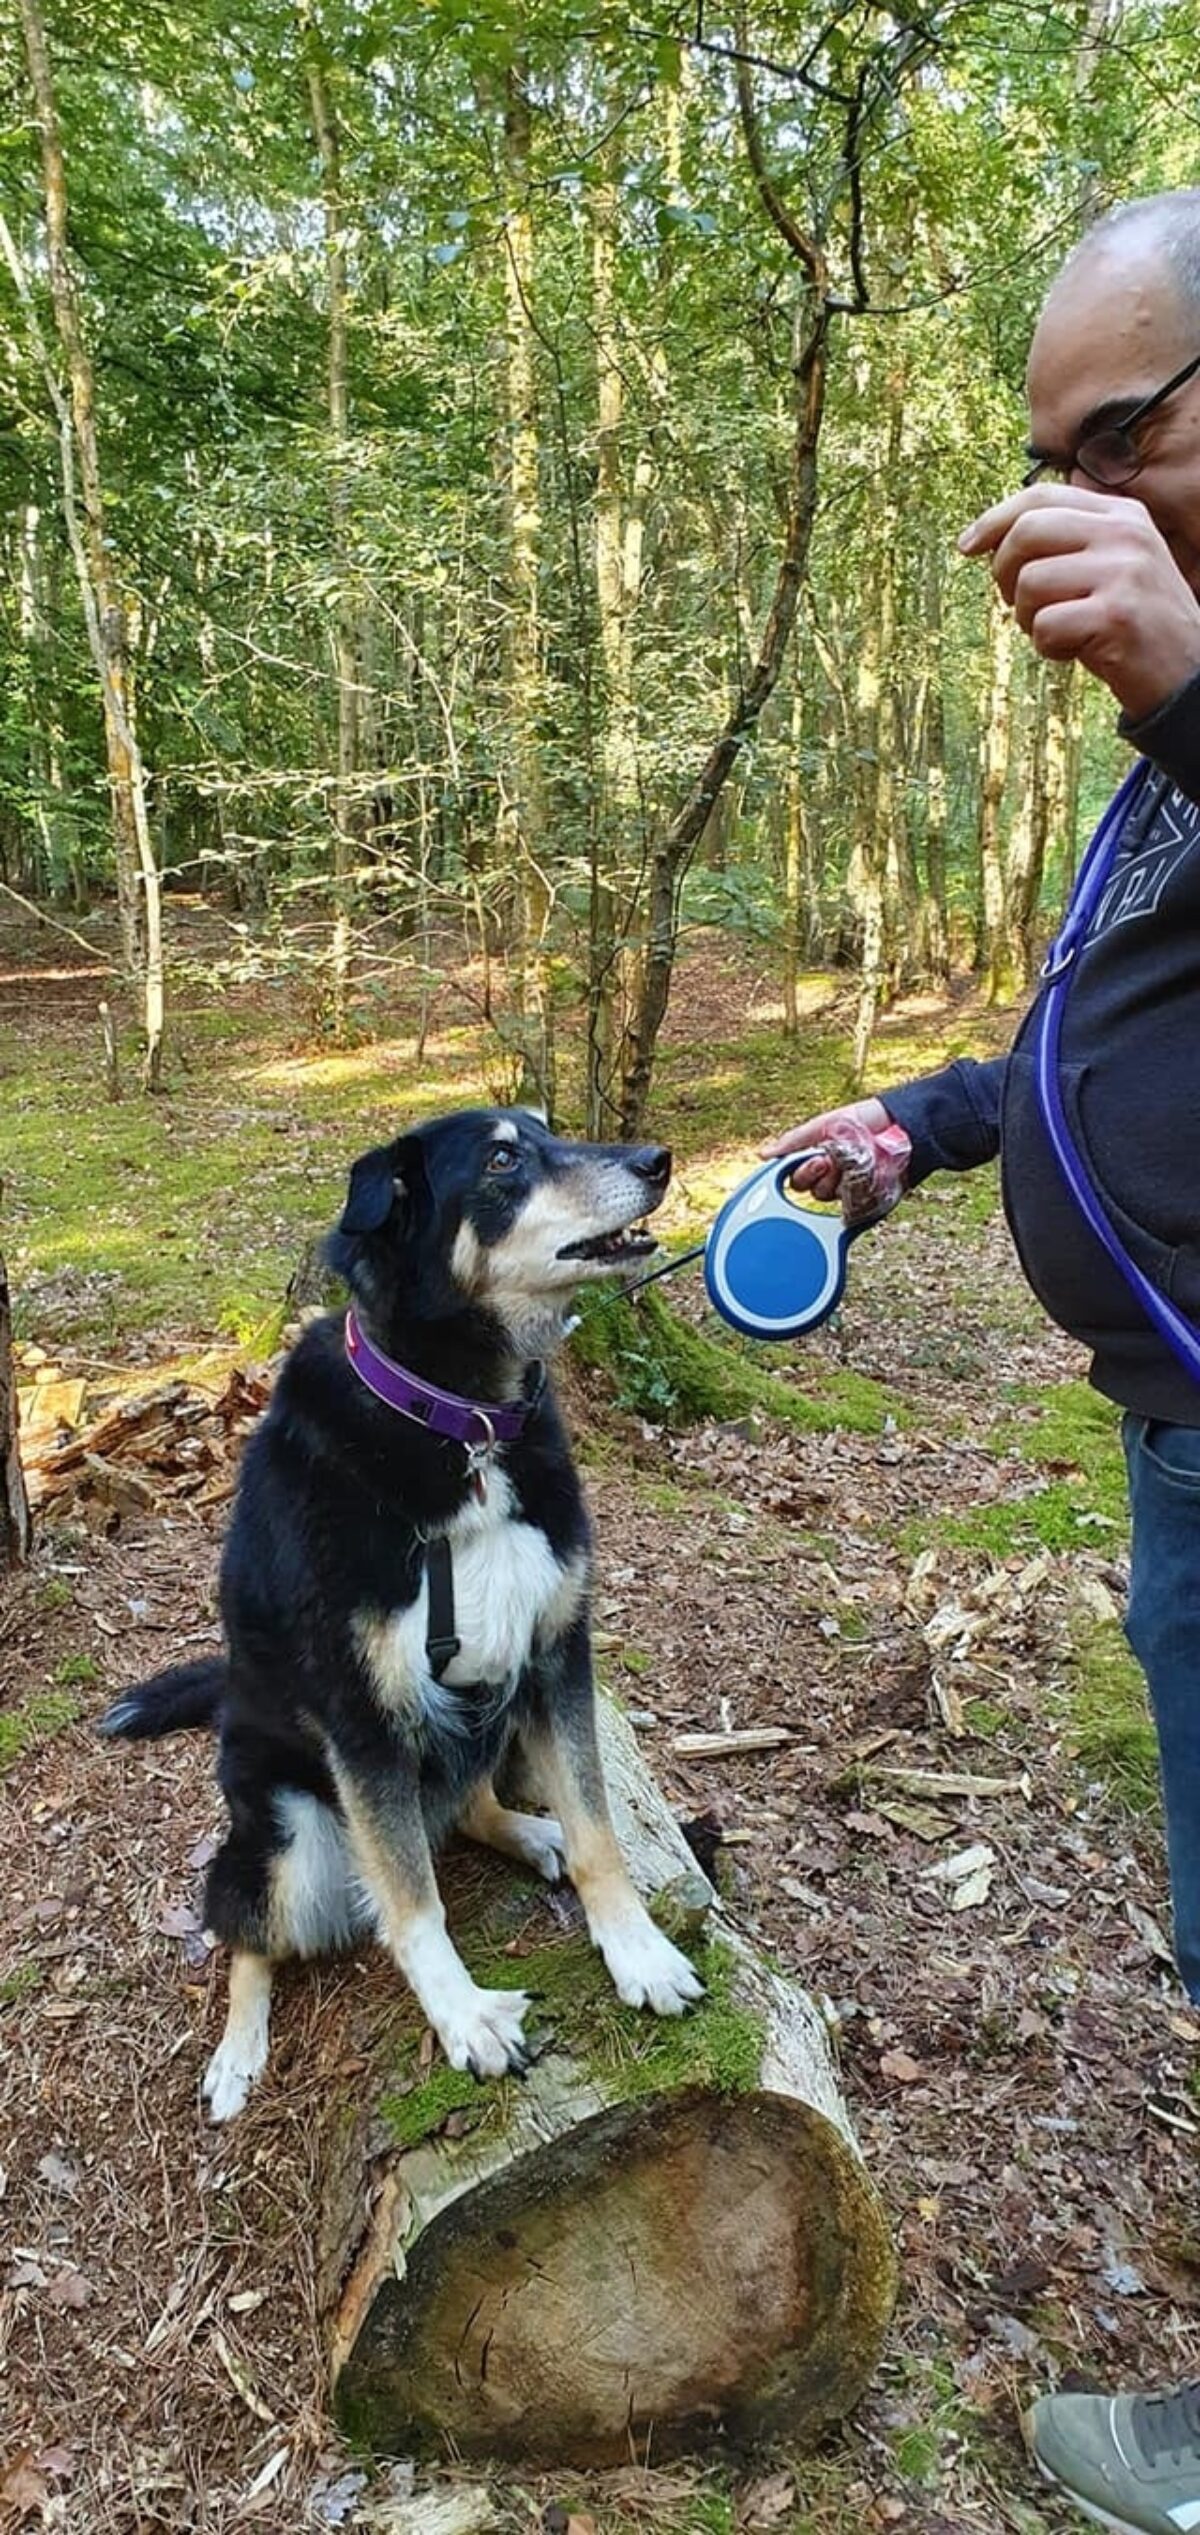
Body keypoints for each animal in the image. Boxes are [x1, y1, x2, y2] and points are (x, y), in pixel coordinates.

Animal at [105, 1110, 700, 2119]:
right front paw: (464, 2017)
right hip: (290, 1838)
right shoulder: (363, 1717)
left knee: (464, 1809)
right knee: (250, 1933)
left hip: (497, 1713)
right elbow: (413, 1903)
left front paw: (638, 1952)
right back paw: (237, 2055)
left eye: (547, 1129)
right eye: (502, 1157)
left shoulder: (556, 1654)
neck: (462, 1424)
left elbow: (596, 1831)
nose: (656, 1160)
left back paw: (525, 1831)